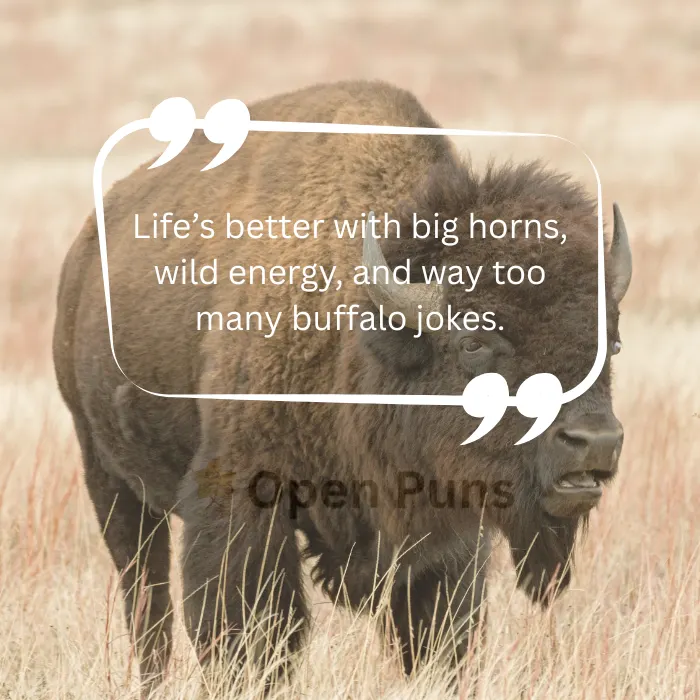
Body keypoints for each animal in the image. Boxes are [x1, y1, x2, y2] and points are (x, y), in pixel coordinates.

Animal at [52, 80, 632, 691]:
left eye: (612, 344)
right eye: (474, 340)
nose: (595, 442)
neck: (357, 327)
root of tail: (84, 250)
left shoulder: (446, 539)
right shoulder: (242, 504)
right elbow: (249, 630)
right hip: (110, 481)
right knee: (147, 601)